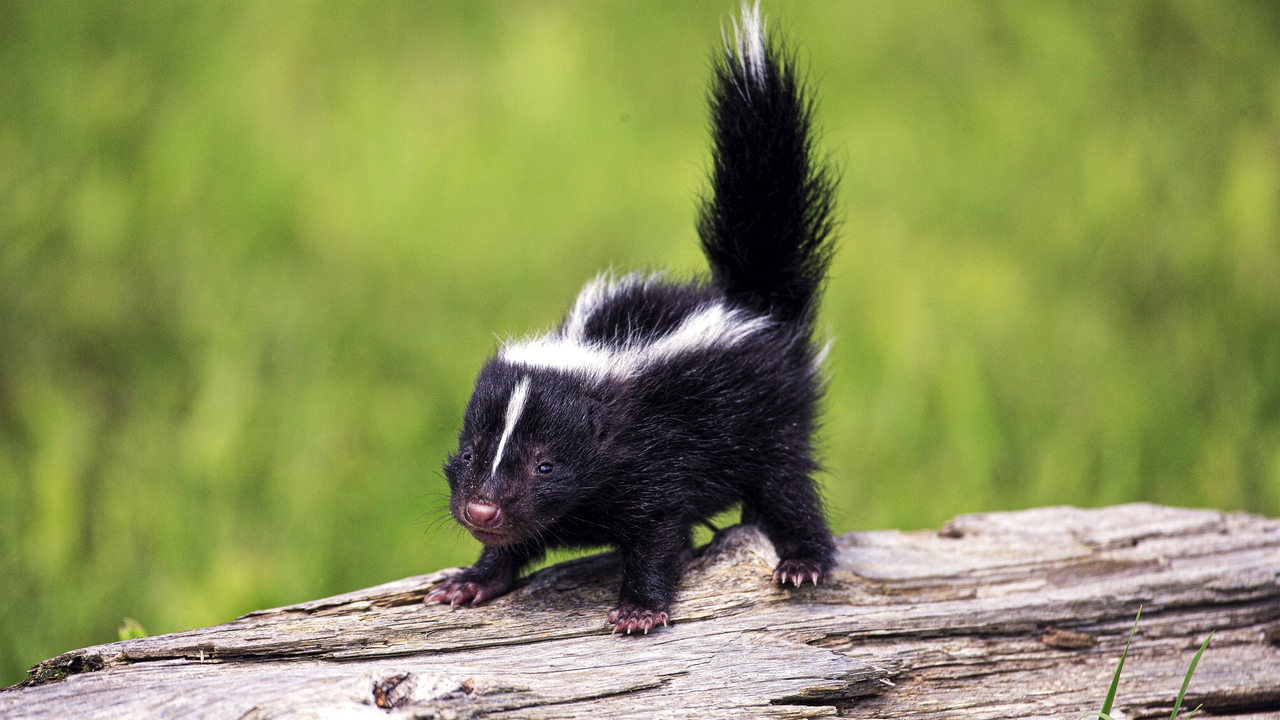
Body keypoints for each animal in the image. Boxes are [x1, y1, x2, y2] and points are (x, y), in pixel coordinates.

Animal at [424, 5, 834, 632]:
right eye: (470, 452)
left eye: (545, 466)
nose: (481, 508)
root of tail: (749, 300)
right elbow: (514, 545)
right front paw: (471, 581)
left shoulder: (660, 460)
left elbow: (658, 535)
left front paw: (640, 609)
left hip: (770, 417)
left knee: (788, 486)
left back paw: (802, 561)